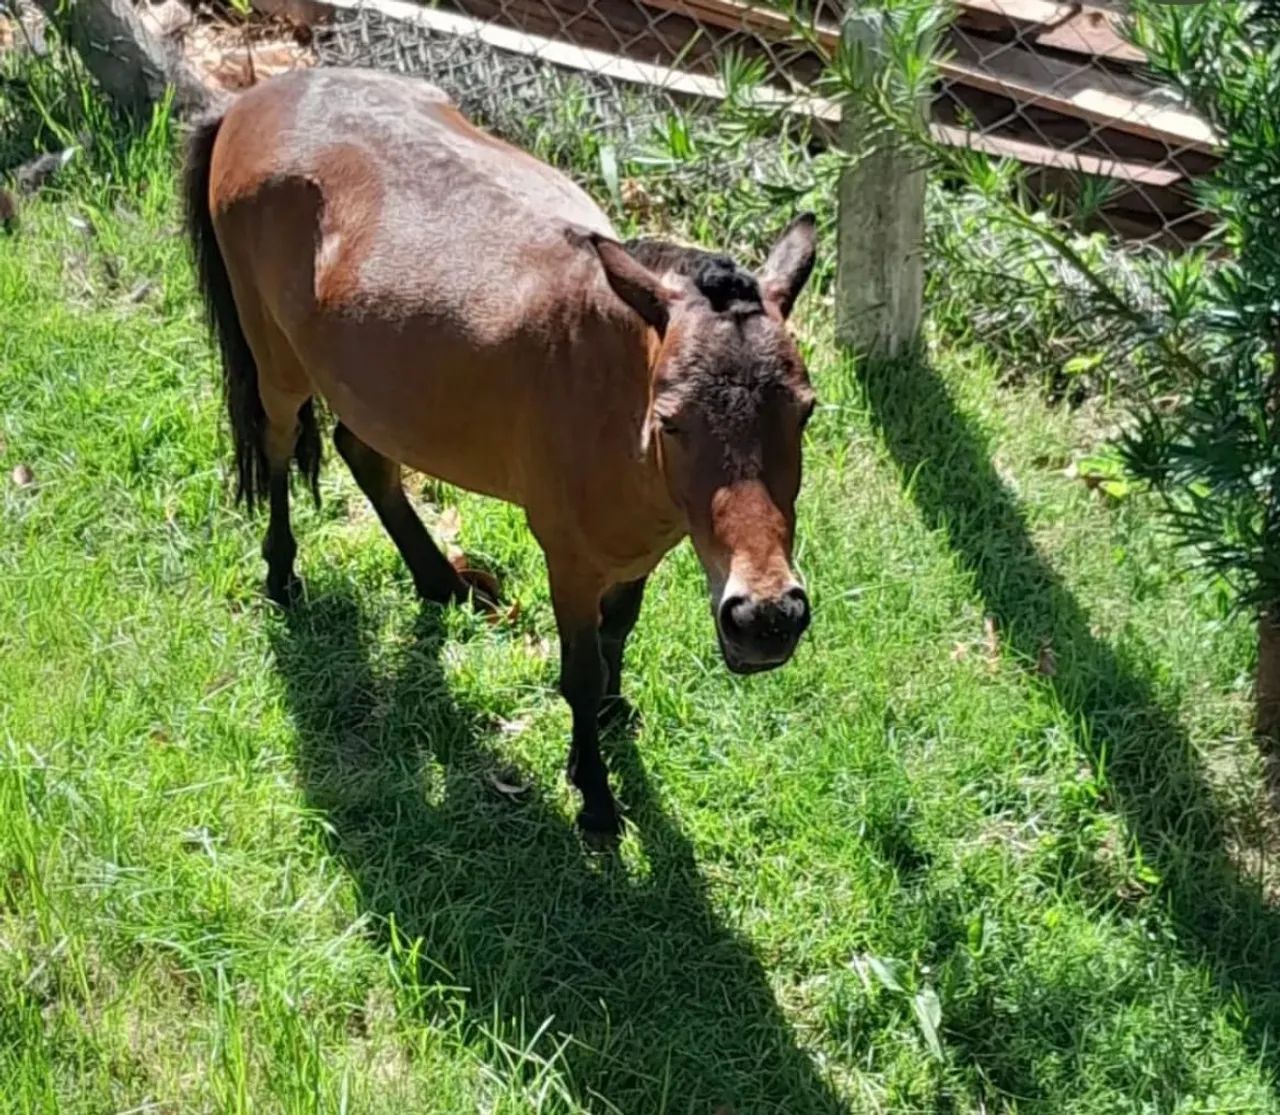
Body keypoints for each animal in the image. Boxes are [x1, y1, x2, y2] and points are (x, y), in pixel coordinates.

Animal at [182, 66, 818, 838]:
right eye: (671, 422)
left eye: (806, 411)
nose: (767, 618)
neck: (608, 383)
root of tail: (250, 100)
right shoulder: (570, 560)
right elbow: (579, 672)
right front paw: (595, 797)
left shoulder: (644, 548)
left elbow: (617, 635)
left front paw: (610, 721)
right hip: (275, 364)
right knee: (278, 449)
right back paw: (282, 575)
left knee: (364, 454)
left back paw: (441, 581)